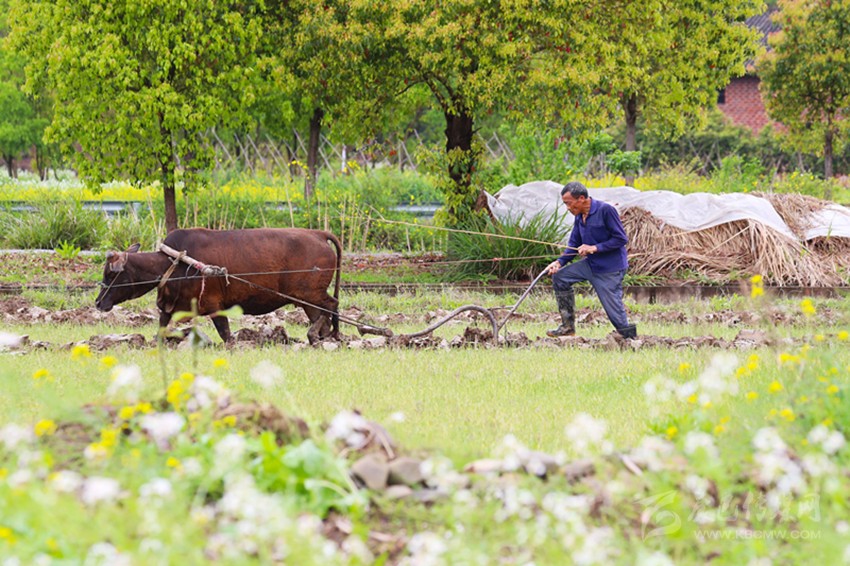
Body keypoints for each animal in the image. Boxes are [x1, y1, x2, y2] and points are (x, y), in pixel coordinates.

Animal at [96, 229, 342, 344]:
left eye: (111, 274)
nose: (98, 302)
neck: (174, 263)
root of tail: (318, 234)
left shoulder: (215, 306)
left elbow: (226, 336)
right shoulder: (167, 309)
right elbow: (160, 333)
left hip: (311, 294)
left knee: (332, 304)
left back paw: (327, 336)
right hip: (307, 299)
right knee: (324, 315)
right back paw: (323, 338)